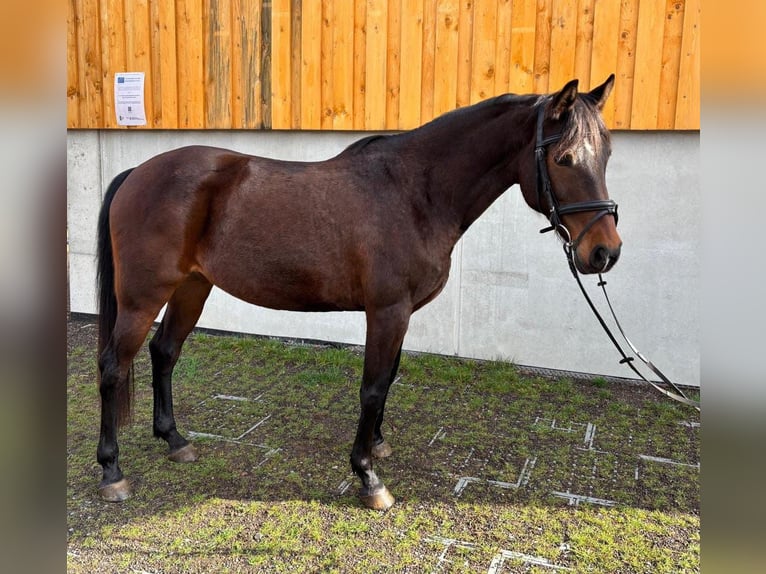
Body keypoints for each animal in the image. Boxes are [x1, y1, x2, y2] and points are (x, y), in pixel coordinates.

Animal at [94, 75, 621, 510]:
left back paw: (175, 441)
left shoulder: (402, 313)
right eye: (564, 158)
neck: (415, 193)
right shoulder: (386, 311)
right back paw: (112, 472)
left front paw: (378, 445)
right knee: (113, 367)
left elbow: (388, 379)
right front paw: (368, 478)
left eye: (606, 155)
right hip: (142, 297)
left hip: (192, 287)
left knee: (165, 352)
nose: (604, 252)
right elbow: (371, 388)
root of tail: (138, 172)